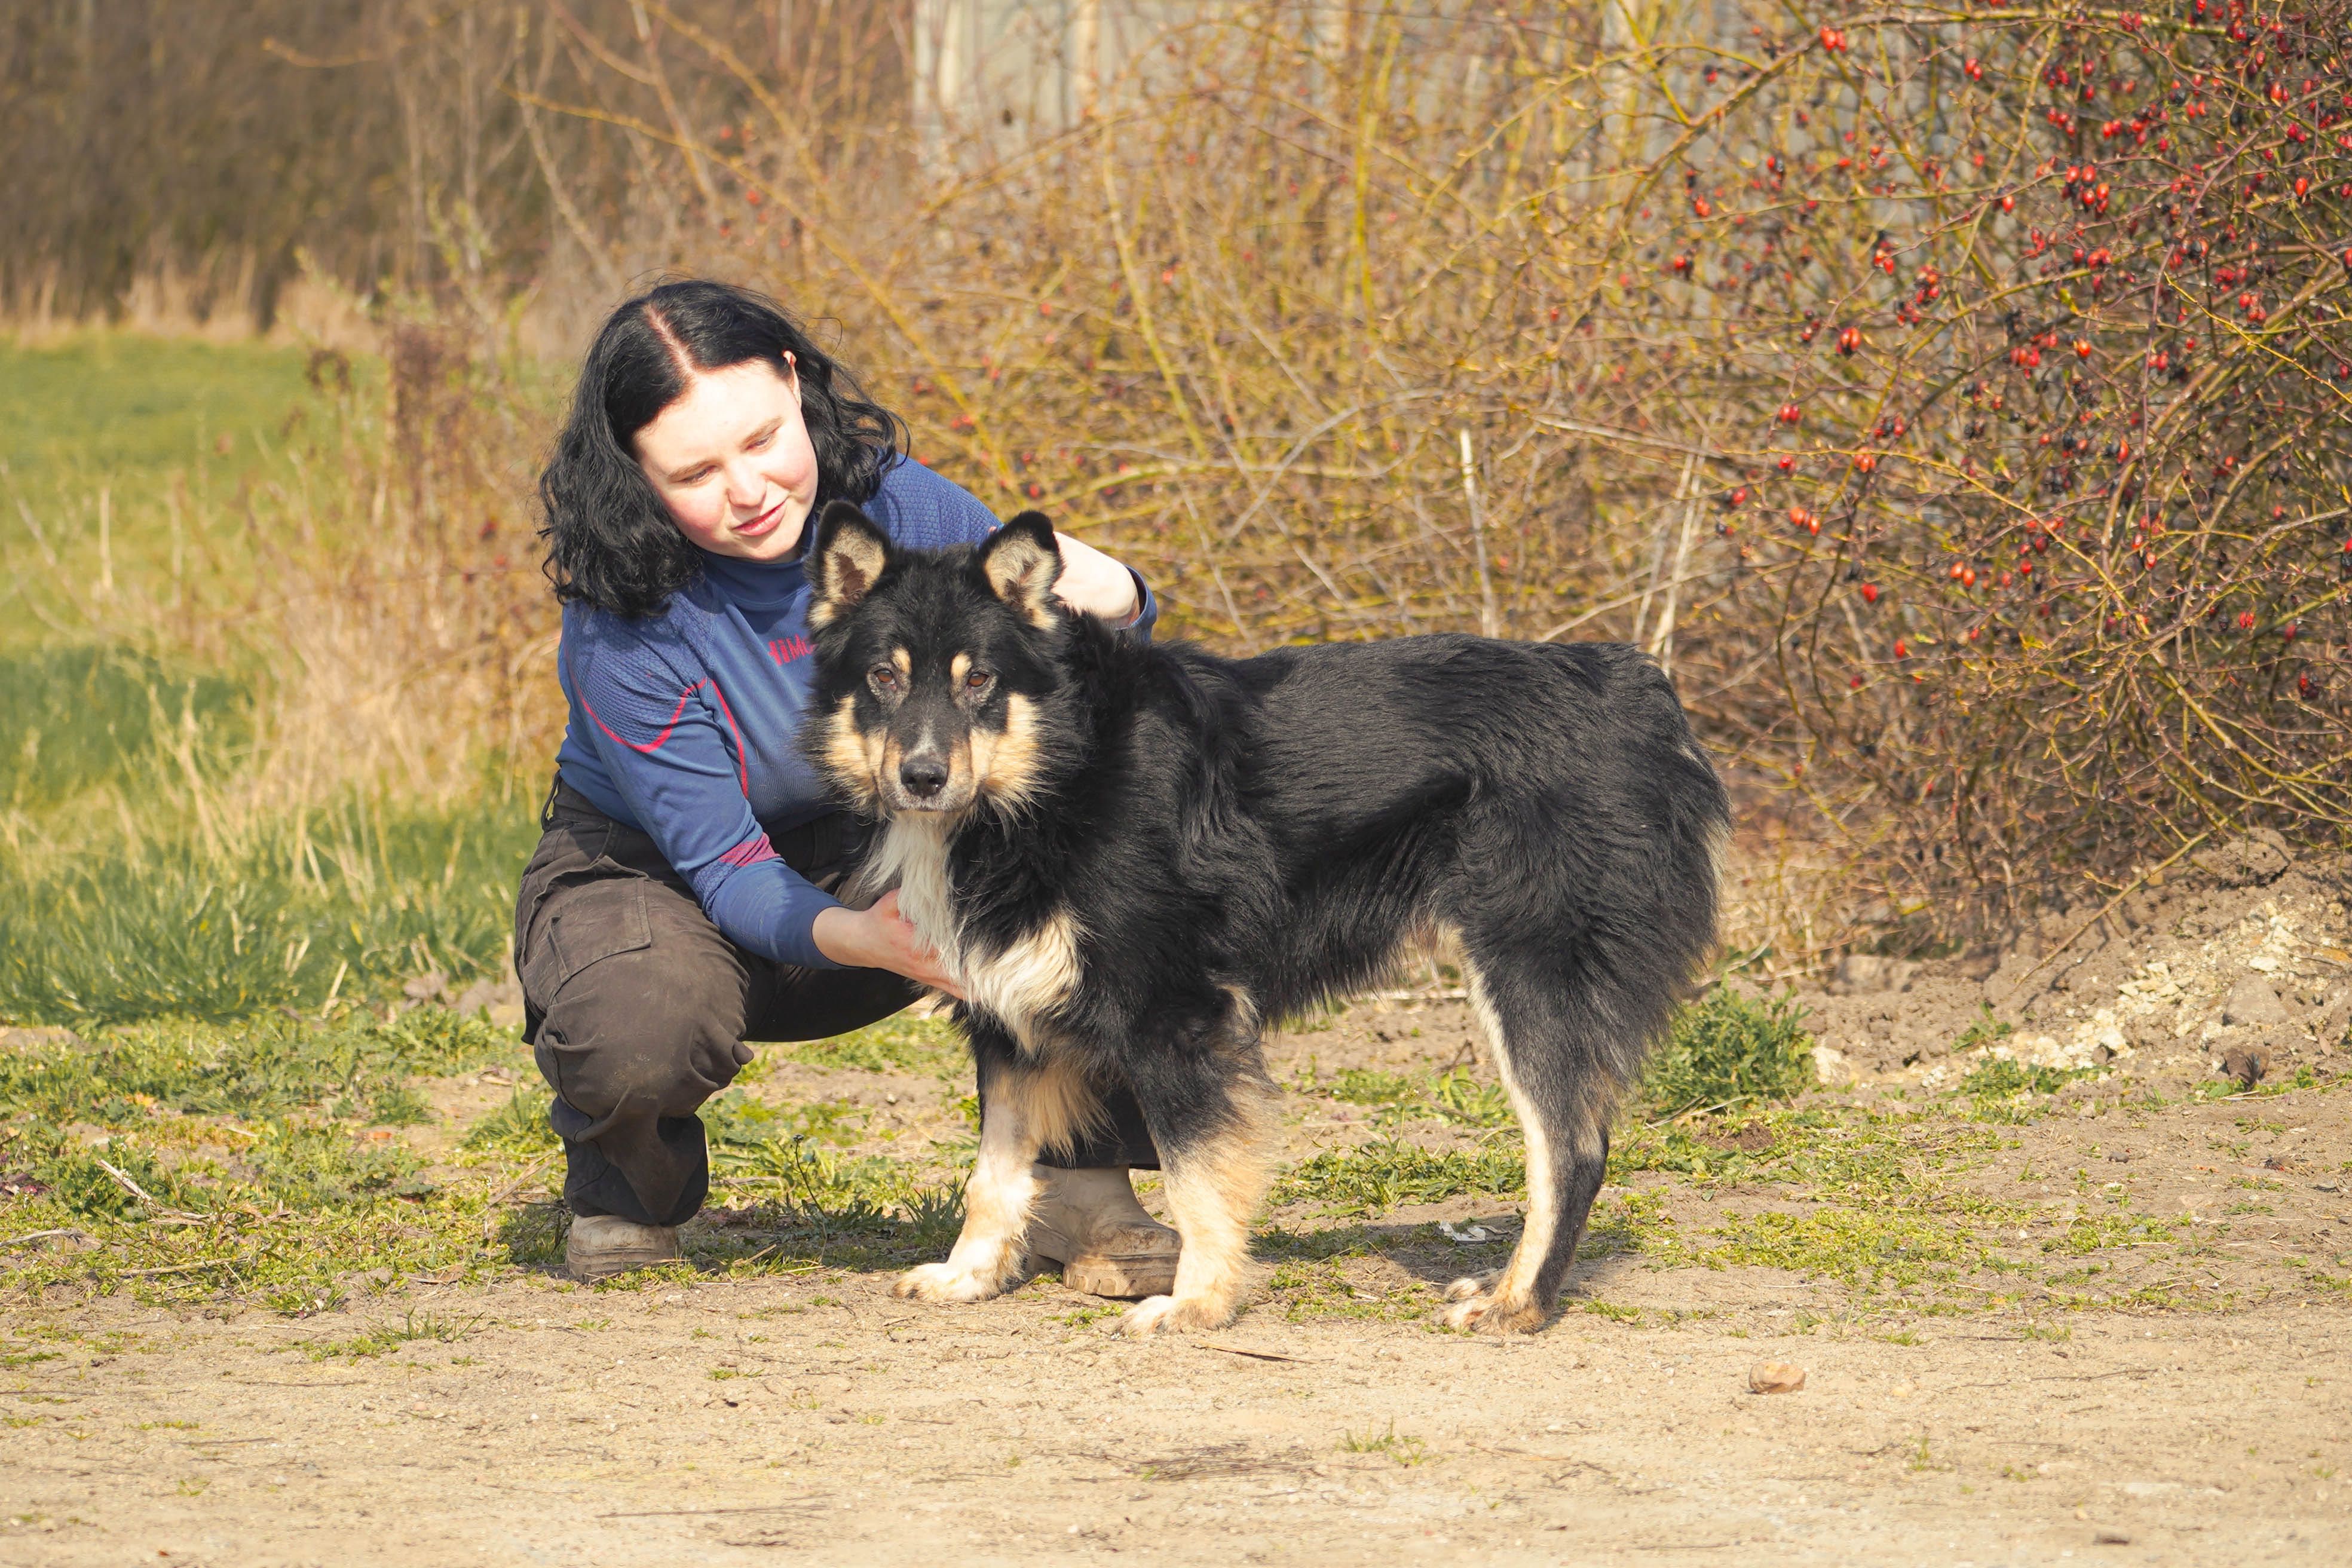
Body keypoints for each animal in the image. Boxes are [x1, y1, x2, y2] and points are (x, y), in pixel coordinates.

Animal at [808, 505, 1731, 1335]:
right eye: (884, 678)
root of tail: (1637, 687)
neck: (1059, 771)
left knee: (1570, 1149)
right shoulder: (1007, 1013)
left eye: (980, 681)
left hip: (1529, 968)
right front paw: (968, 1276)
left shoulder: (1176, 1016)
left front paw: (1197, 1304)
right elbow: (993, 1173)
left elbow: (1195, 1176)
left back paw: (1519, 1304)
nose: (922, 777)